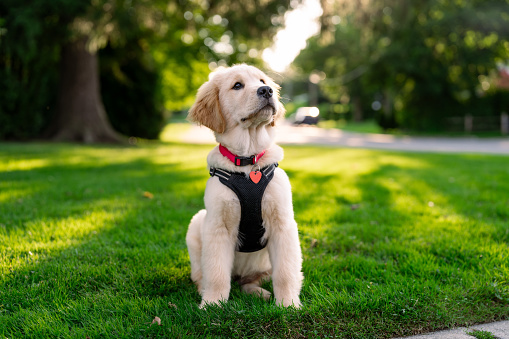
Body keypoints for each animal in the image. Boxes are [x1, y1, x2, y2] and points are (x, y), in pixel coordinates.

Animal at [185, 64, 302, 310]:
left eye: (262, 81)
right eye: (237, 85)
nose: (266, 91)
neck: (248, 162)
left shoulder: (283, 223)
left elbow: (286, 272)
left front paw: (288, 304)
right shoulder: (217, 225)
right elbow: (216, 272)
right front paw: (212, 304)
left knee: (249, 282)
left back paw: (260, 293)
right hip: (197, 223)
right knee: (203, 275)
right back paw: (204, 291)